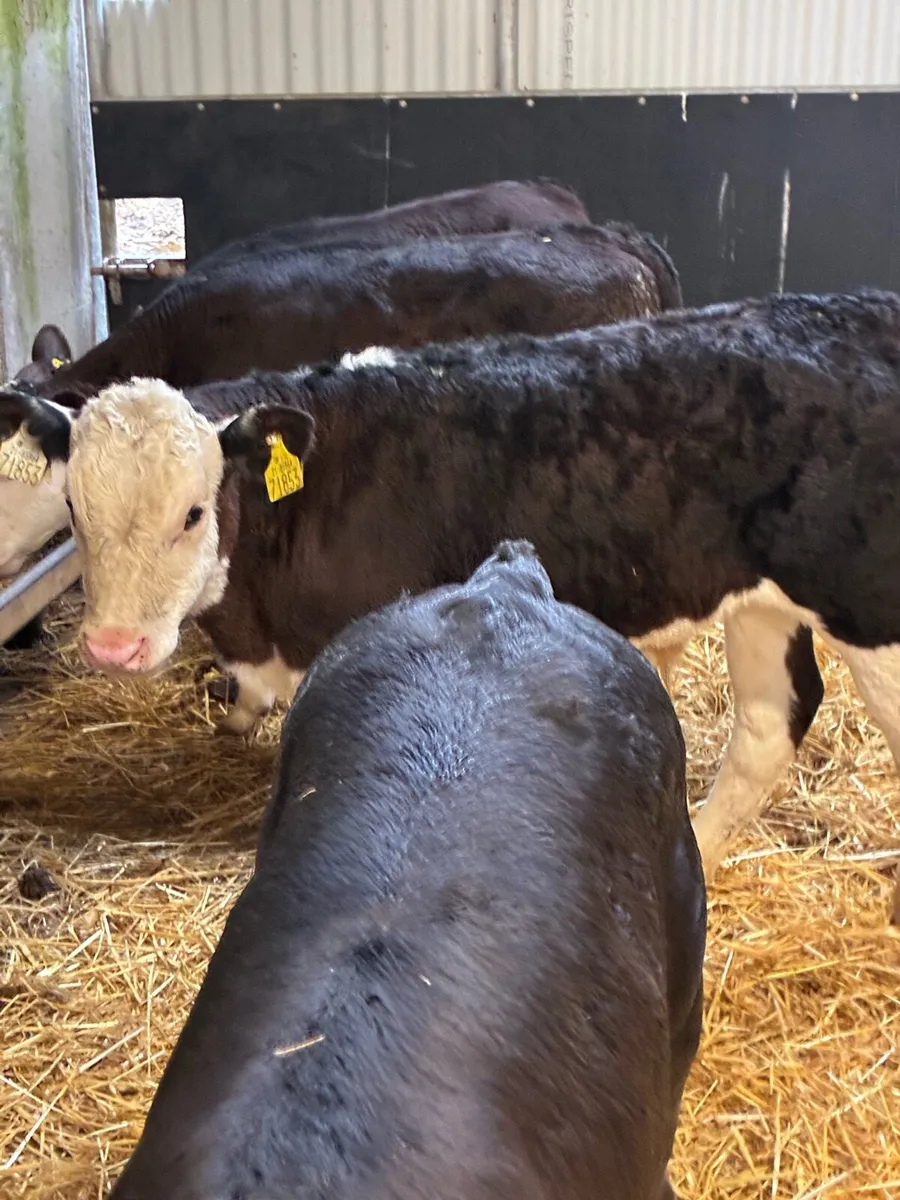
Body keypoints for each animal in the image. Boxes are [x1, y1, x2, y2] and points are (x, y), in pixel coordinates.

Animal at [9, 289, 899, 911]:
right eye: (75, 511)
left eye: (193, 513)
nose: (114, 646)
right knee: (771, 724)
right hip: (761, 602)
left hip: (870, 610)